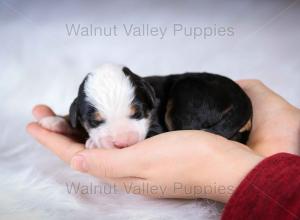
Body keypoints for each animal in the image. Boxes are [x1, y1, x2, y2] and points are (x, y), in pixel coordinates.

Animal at [39, 64, 251, 150]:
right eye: (95, 121)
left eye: (137, 113)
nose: (122, 143)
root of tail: (243, 99)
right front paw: (54, 120)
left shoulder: (157, 127)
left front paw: (93, 143)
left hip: (187, 96)